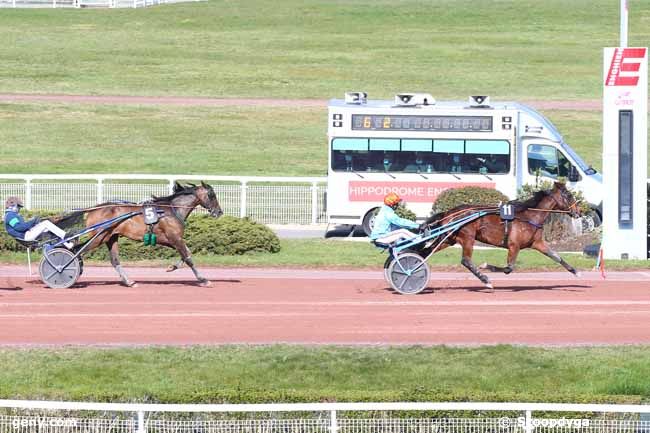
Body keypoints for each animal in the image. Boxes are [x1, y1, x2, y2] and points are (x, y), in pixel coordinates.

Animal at [79, 181, 223, 286]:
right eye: (212, 195)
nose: (219, 212)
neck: (172, 210)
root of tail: (93, 209)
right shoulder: (174, 238)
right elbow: (188, 258)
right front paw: (203, 279)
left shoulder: (170, 240)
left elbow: (187, 252)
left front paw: (172, 267)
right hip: (98, 238)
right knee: (78, 251)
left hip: (111, 237)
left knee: (114, 260)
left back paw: (128, 281)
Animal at [422, 181, 580, 288]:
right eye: (569, 195)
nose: (579, 212)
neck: (530, 216)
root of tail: (448, 213)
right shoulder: (514, 245)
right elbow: (509, 268)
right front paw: (486, 266)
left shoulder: (537, 243)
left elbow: (556, 256)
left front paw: (575, 271)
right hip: (468, 238)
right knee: (466, 261)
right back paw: (486, 281)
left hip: (448, 239)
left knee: (427, 251)